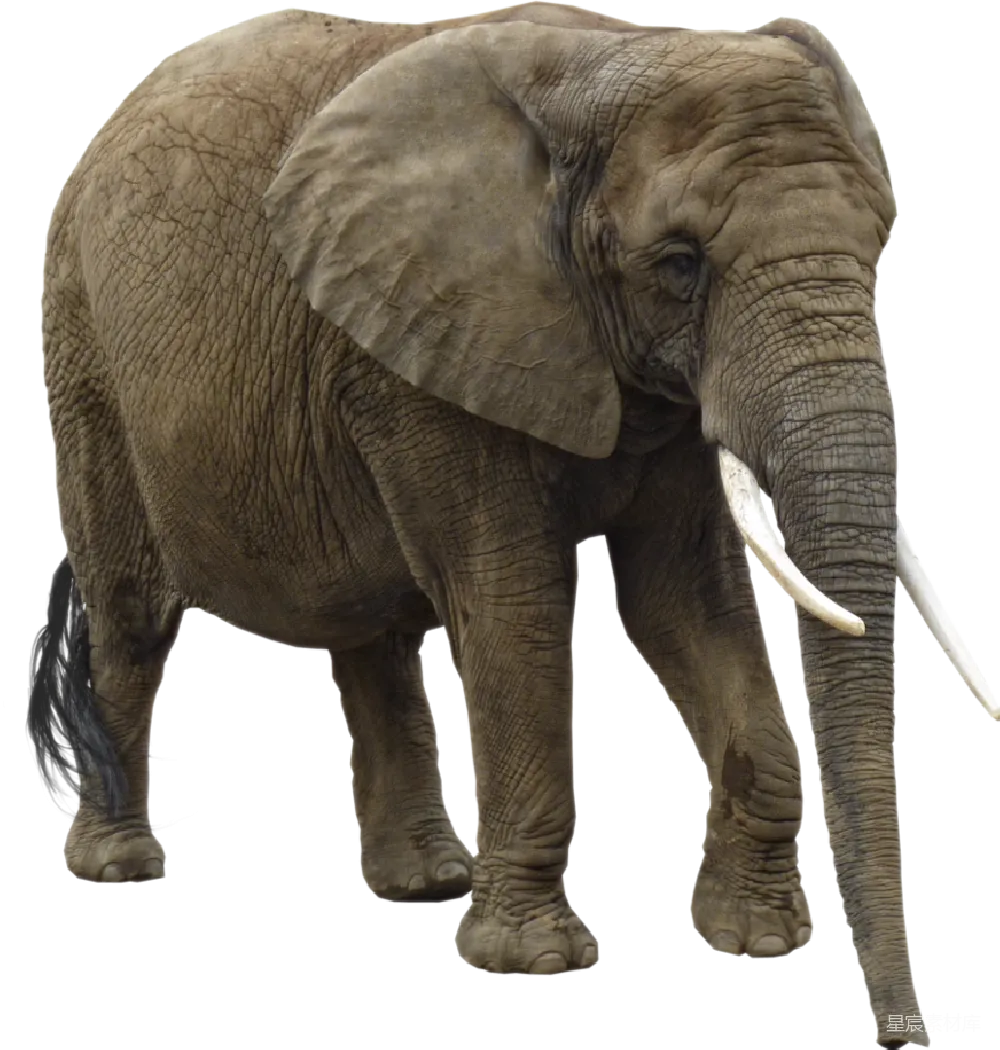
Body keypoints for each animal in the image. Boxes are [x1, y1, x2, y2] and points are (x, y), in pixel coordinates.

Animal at [39, 5, 993, 1043]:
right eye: (680, 266)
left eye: (881, 241)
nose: (910, 1032)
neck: (608, 57)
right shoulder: (433, 342)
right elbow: (512, 599)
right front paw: (534, 962)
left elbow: (681, 601)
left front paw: (757, 940)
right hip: (84, 344)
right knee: (133, 614)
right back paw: (119, 864)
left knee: (374, 632)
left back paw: (426, 882)